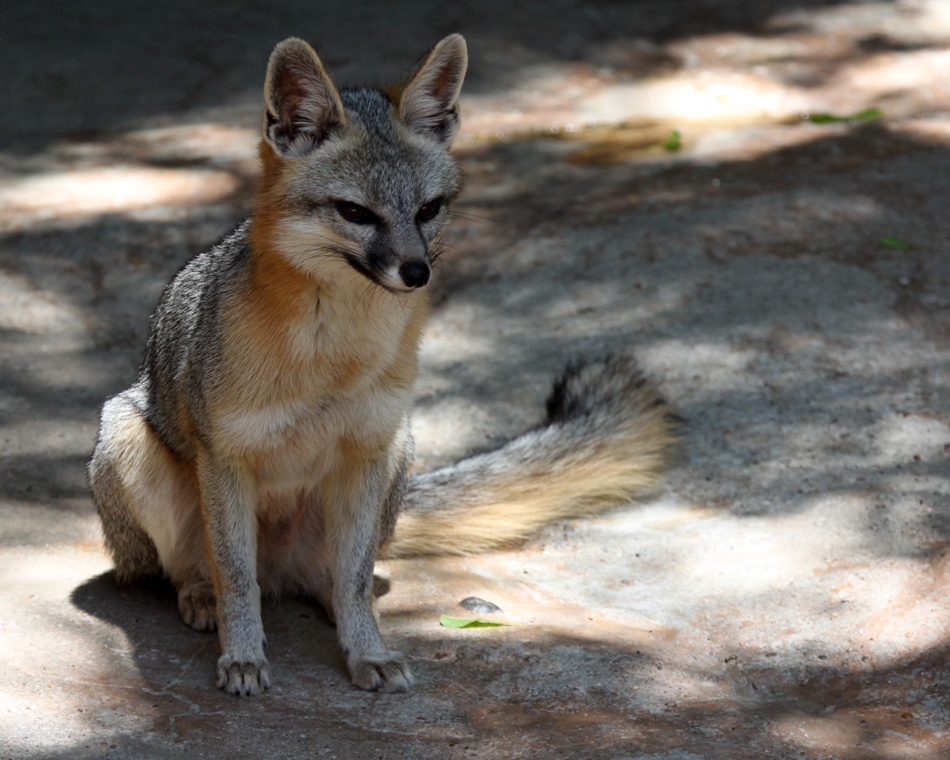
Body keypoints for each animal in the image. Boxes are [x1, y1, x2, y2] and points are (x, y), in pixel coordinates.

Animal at [87, 37, 676, 700]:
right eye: (355, 212)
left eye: (428, 209)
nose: (417, 272)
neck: (333, 358)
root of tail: (281, 567)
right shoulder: (226, 457)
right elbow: (236, 577)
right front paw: (242, 656)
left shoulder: (366, 448)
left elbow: (355, 577)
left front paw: (366, 650)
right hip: (126, 439)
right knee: (190, 570)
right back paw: (199, 595)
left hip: (399, 448)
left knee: (340, 577)